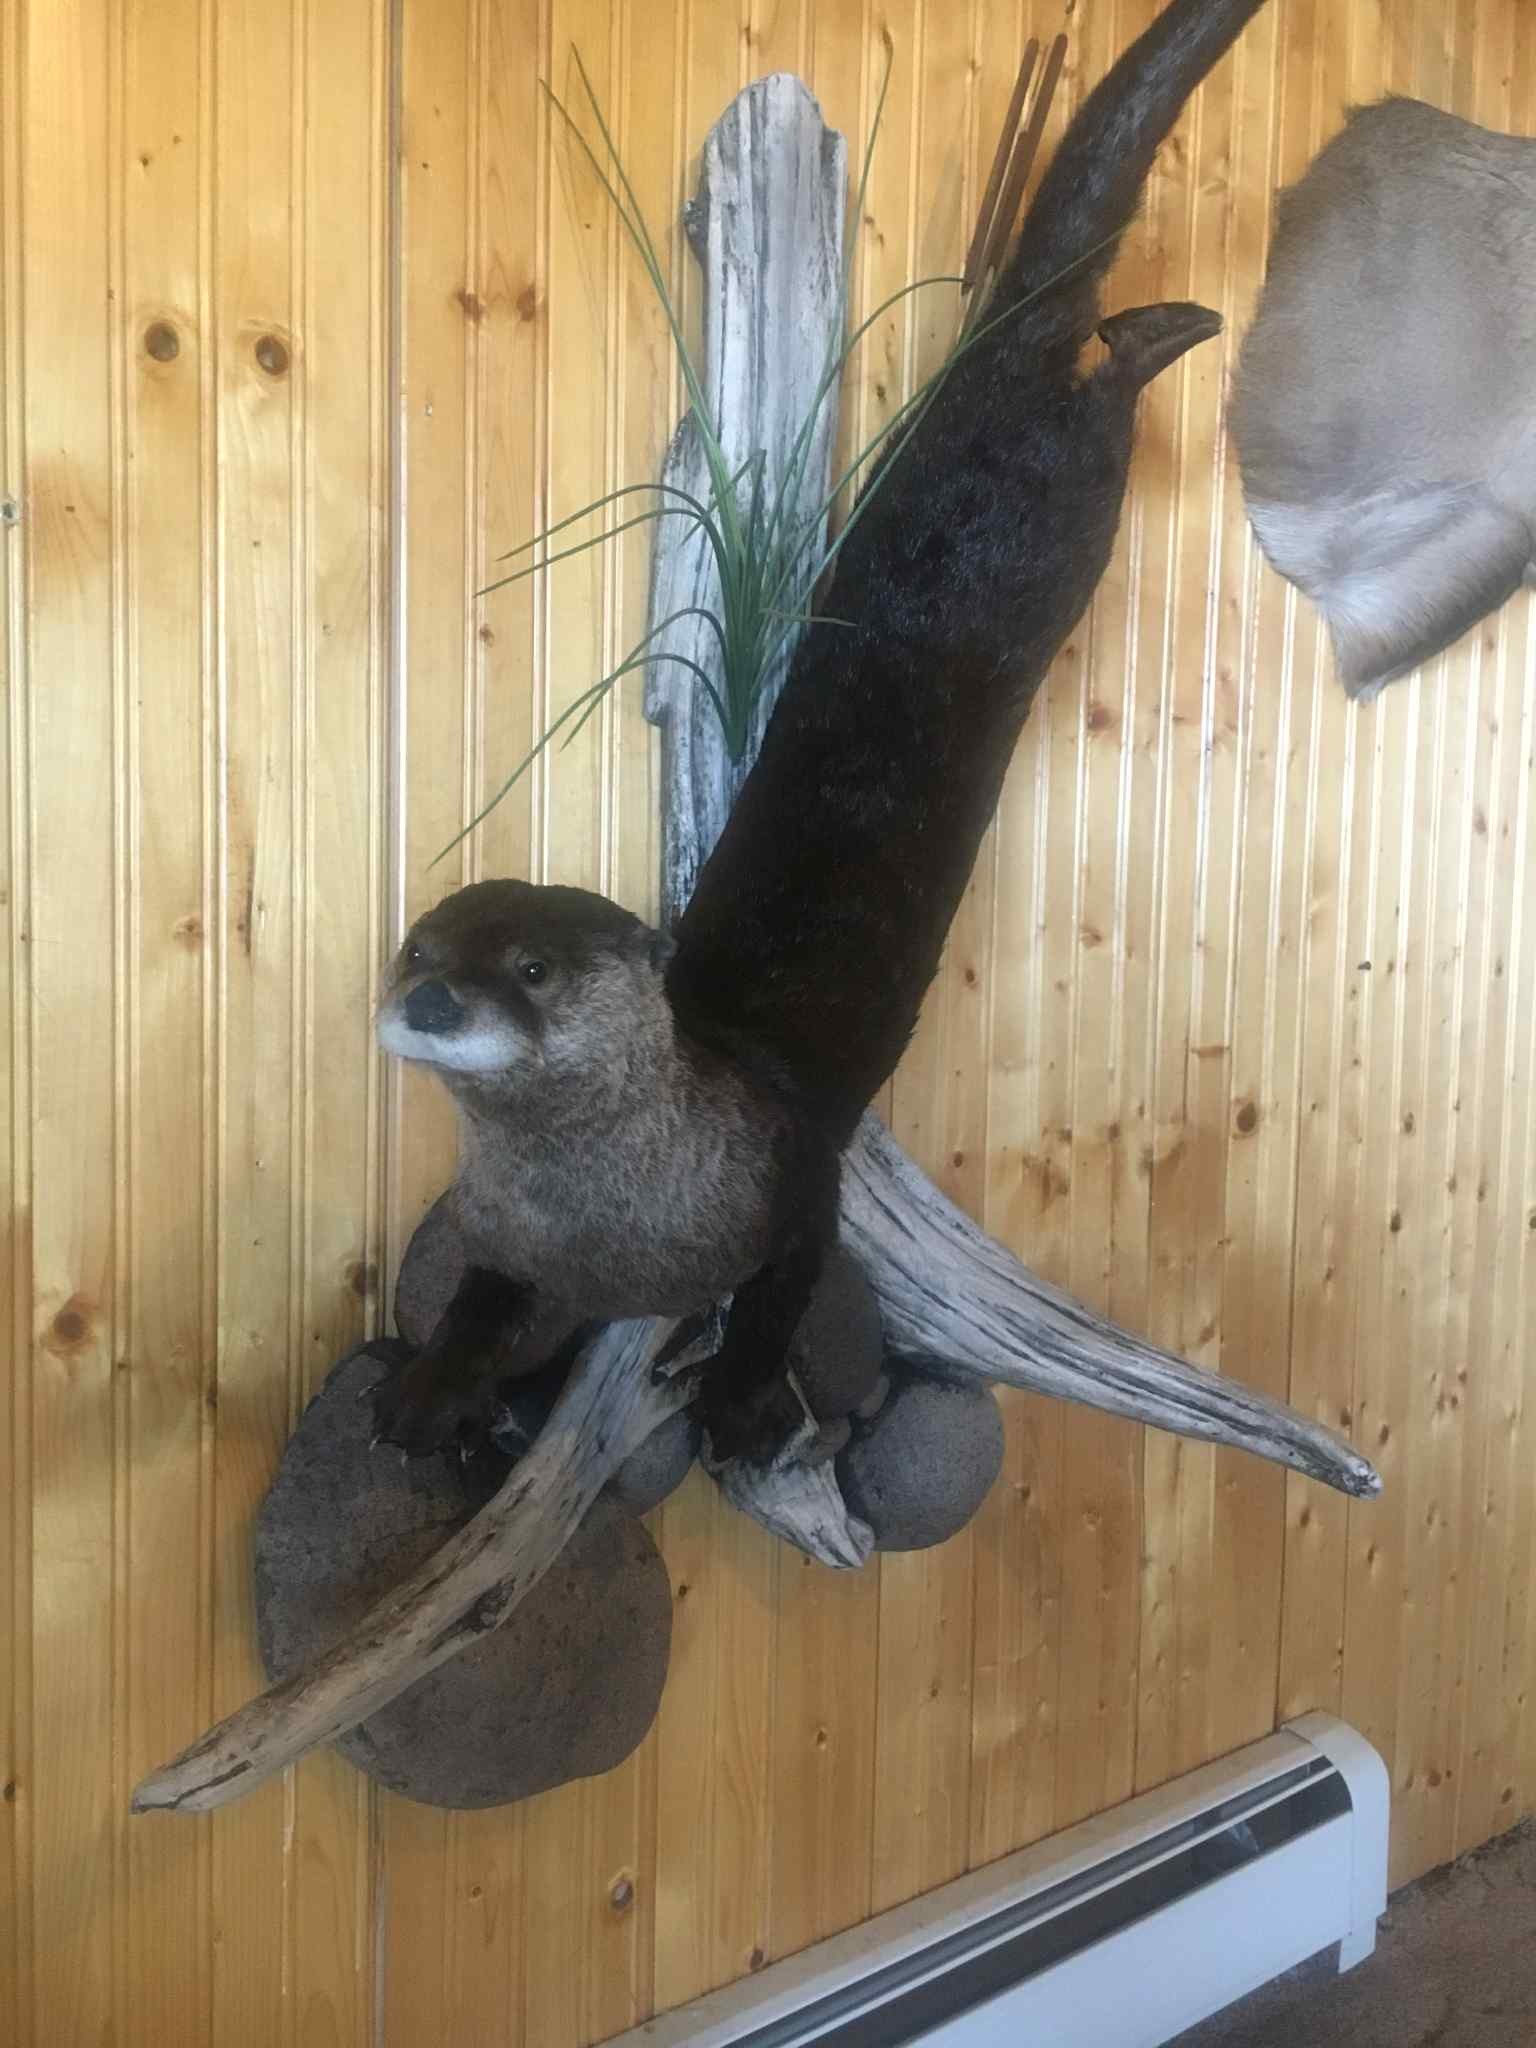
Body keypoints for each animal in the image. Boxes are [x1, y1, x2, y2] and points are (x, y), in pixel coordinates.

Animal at [373, 0, 1269, 1462]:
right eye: (417, 950)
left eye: (534, 969)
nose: (433, 998)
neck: (614, 1229)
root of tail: (984, 375)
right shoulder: (514, 1244)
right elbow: (479, 1305)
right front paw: (426, 1394)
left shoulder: (788, 1191)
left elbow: (786, 1290)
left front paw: (741, 1402)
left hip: (1067, 492)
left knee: (1099, 379)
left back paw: (1171, 327)